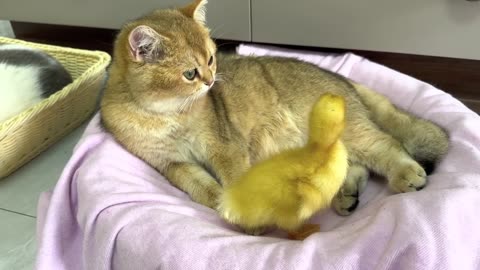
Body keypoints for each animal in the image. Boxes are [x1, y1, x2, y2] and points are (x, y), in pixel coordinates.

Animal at [99, 0, 448, 215]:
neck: (161, 115)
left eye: (211, 59)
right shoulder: (172, 165)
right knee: (353, 165)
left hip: (351, 133)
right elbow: (203, 189)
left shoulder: (224, 148)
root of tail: (342, 78)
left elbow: (233, 178)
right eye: (189, 73)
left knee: (388, 145)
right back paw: (345, 194)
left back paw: (406, 174)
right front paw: (222, 205)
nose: (211, 81)